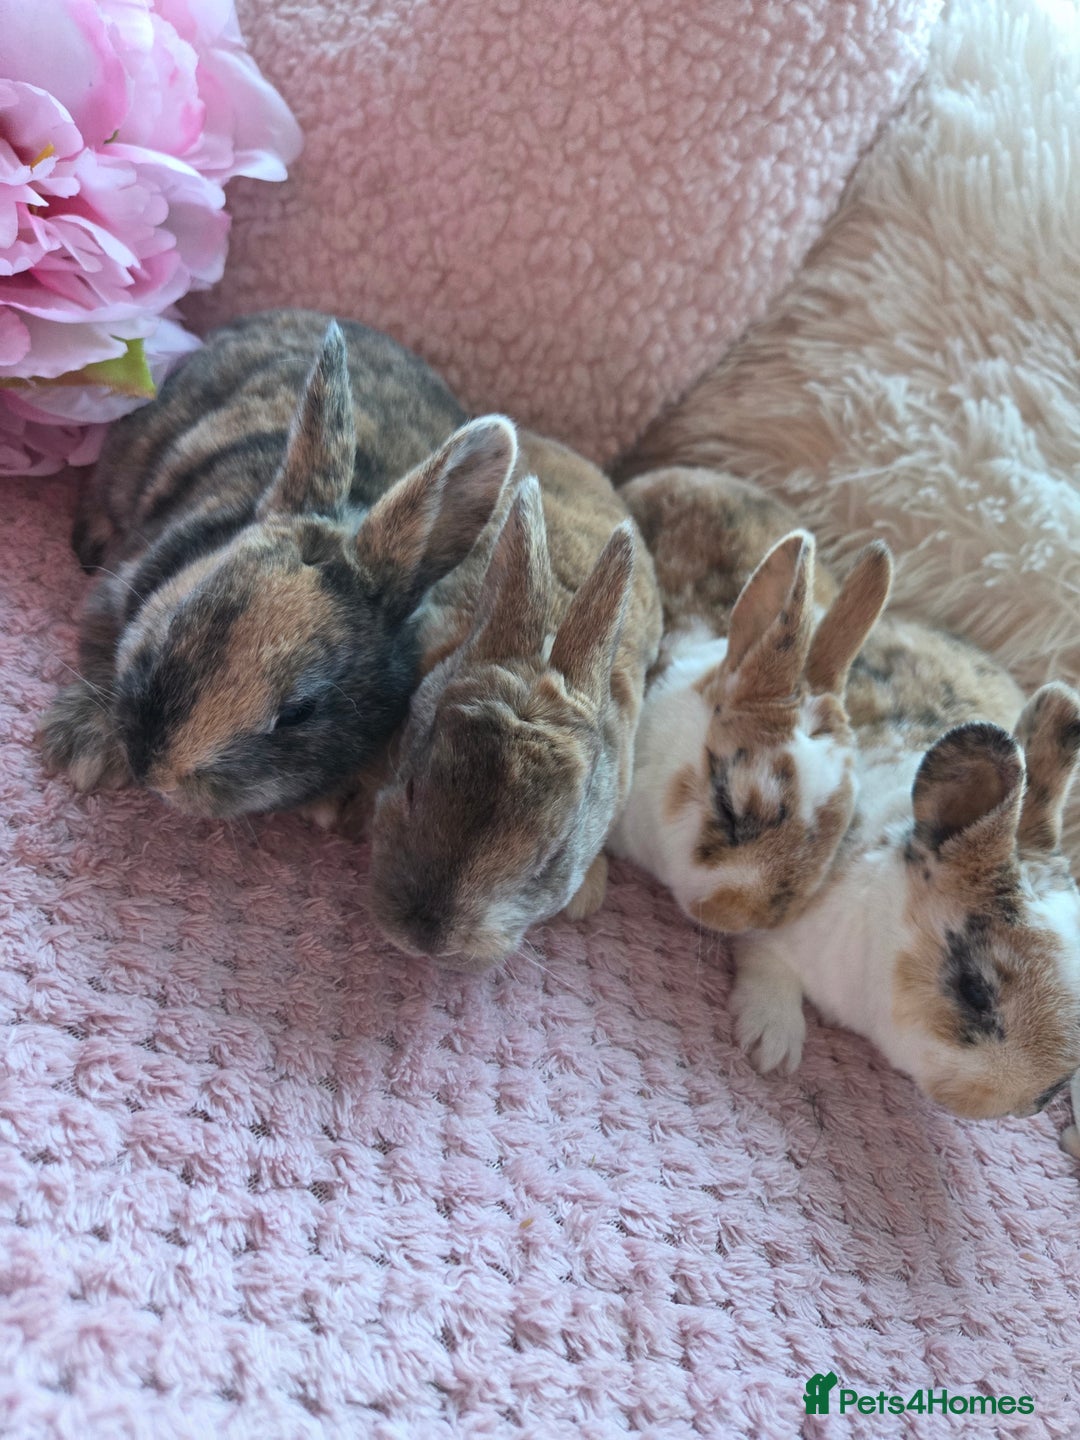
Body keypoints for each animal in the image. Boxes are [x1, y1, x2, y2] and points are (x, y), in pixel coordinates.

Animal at [38, 309, 517, 820]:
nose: (156, 773)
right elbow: (100, 648)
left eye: (299, 714)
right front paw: (82, 749)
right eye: (173, 626)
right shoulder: (119, 588)